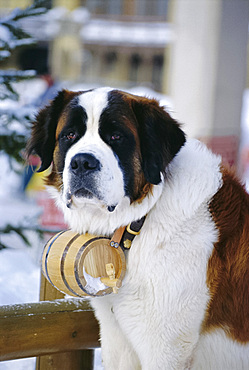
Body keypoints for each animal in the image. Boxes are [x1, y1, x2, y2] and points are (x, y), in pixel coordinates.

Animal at [27, 87, 249, 370]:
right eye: (70, 135)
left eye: (116, 136)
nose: (82, 162)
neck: (140, 221)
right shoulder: (117, 337)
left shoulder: (166, 347)